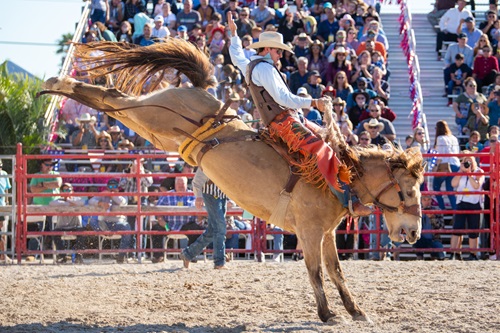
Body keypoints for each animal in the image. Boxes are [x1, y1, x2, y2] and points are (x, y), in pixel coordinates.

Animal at [40, 40, 422, 322]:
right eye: (406, 191)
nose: (415, 233)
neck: (338, 175)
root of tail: (197, 91)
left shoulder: (326, 234)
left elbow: (336, 272)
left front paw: (356, 311)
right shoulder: (310, 232)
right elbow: (315, 272)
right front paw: (328, 315)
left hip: (156, 130)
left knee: (112, 104)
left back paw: (56, 85)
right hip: (152, 115)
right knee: (112, 99)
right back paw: (55, 83)